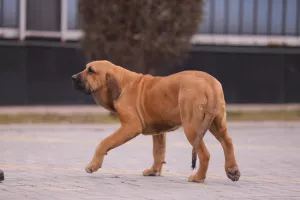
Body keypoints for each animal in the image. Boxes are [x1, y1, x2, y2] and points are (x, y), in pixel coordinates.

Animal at [71, 59, 240, 183]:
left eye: (91, 70)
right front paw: (154, 171)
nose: (72, 78)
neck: (121, 82)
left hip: (192, 128)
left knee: (205, 154)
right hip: (216, 123)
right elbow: (158, 152)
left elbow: (104, 142)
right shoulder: (159, 132)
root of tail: (209, 83)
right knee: (227, 142)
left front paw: (93, 165)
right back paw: (232, 170)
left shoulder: (130, 126)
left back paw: (198, 177)